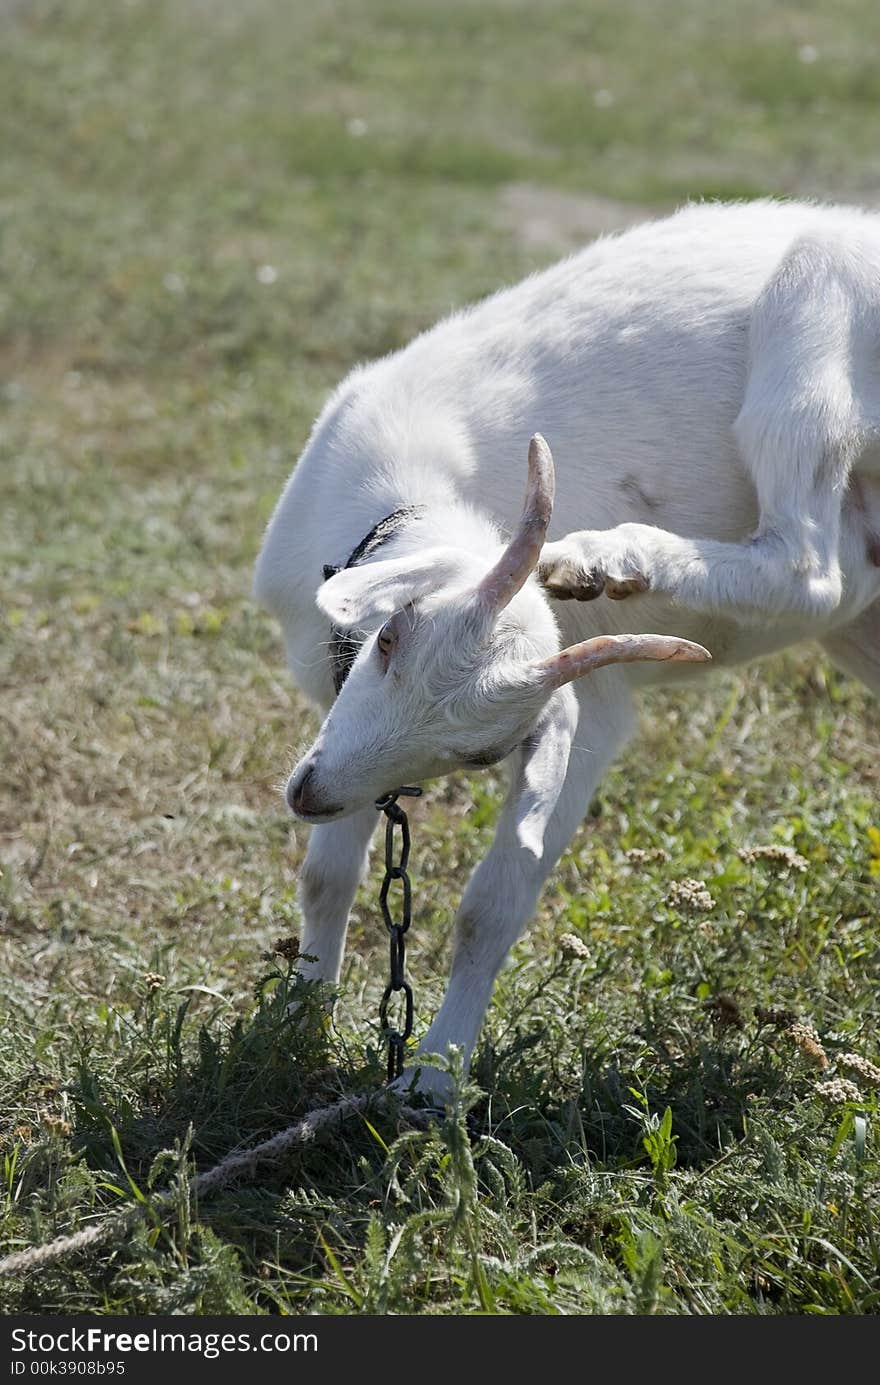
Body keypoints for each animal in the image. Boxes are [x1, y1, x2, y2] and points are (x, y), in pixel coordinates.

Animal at [254, 200, 880, 1096]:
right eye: (390, 636)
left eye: (483, 754)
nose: (307, 794)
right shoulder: (336, 719)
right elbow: (326, 877)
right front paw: (296, 1020)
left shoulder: (590, 709)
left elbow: (491, 907)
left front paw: (434, 1080)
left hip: (817, 315)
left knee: (811, 563)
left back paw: (606, 556)